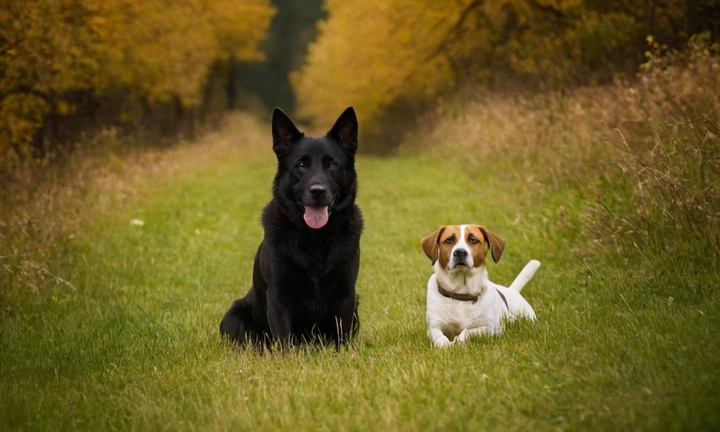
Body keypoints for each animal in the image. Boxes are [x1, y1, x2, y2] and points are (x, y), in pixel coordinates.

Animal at [219, 107, 362, 348]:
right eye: (301, 165)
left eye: (332, 164)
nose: (317, 191)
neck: (315, 239)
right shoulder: (278, 295)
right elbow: (284, 340)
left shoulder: (346, 293)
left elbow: (341, 336)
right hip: (233, 317)